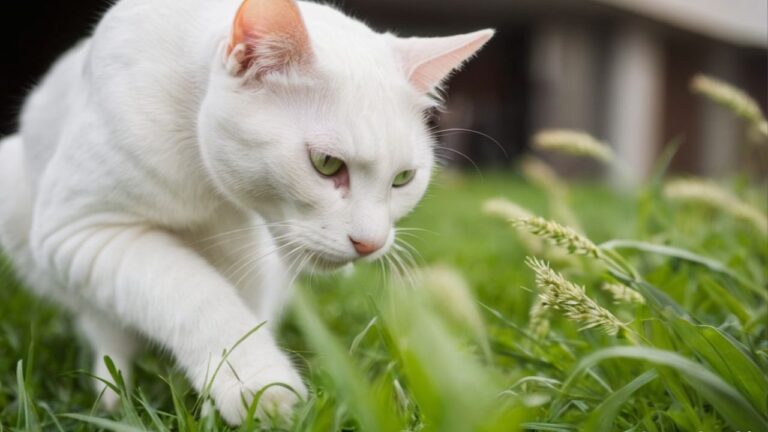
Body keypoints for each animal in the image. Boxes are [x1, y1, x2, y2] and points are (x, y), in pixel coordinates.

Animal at [0, 0, 492, 426]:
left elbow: (245, 311)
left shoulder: (256, 262)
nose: (370, 243)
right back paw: (110, 399)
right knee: (105, 331)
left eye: (403, 178)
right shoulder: (81, 229)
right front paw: (258, 386)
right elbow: (193, 292)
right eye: (326, 164)